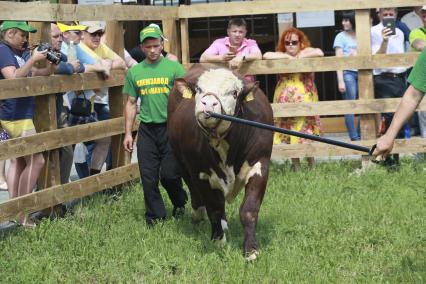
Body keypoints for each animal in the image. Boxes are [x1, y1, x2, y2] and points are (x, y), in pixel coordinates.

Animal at [167, 65, 272, 260]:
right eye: (199, 89)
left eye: (234, 92)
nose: (208, 104)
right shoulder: (201, 173)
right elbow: (214, 209)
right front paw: (218, 241)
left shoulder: (260, 164)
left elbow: (249, 209)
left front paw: (251, 250)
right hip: (182, 162)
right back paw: (200, 216)